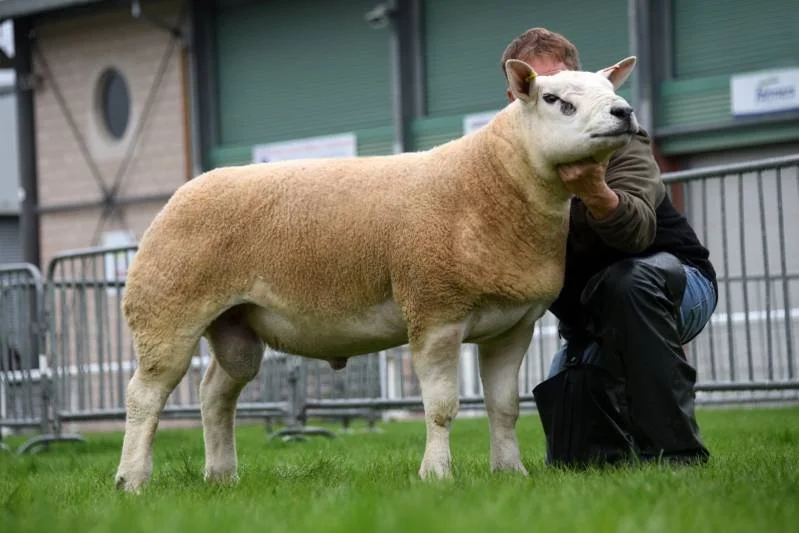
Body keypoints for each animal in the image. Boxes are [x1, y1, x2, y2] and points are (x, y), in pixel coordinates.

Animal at [114, 56, 639, 492]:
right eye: (555, 100)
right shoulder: (435, 310)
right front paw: (436, 474)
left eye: (607, 89)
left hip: (236, 327)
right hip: (167, 311)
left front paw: (511, 472)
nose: (624, 113)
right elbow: (441, 408)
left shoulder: (512, 327)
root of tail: (183, 192)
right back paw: (132, 481)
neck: (491, 183)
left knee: (215, 396)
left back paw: (221, 476)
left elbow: (505, 407)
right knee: (144, 395)